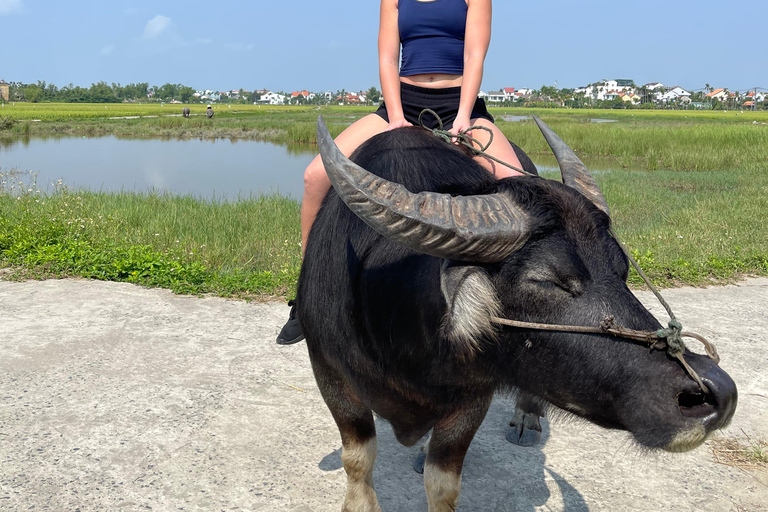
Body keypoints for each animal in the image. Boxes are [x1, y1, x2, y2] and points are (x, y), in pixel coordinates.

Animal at [296, 117, 736, 512]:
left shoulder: (473, 393)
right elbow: (358, 458)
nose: (715, 391)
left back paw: (527, 417)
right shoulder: (328, 372)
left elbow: (443, 482)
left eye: (621, 269)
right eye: (546, 280)